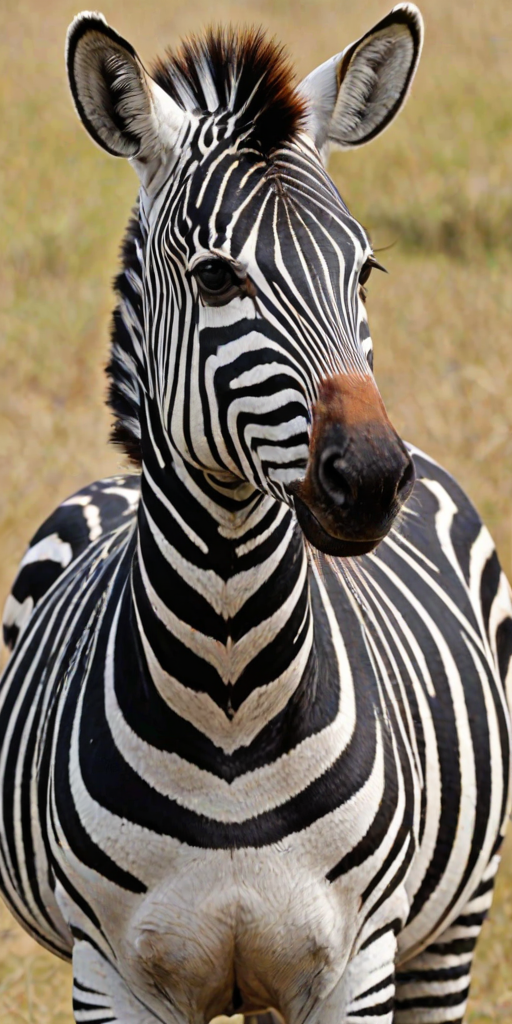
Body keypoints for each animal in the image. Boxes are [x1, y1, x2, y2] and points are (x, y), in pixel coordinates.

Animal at [1, 4, 511, 1023]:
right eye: (215, 279)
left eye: (365, 269)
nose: (372, 477)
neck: (233, 683)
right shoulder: (107, 972)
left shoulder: (357, 965)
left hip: (451, 931)